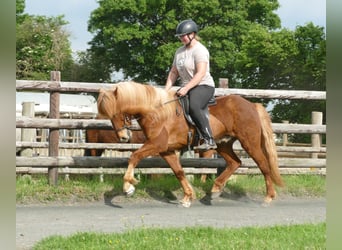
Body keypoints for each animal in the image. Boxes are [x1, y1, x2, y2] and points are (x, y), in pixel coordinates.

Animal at [97, 81, 284, 207]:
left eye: (118, 113)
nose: (123, 137)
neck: (157, 112)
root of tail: (252, 105)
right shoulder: (166, 150)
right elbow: (179, 172)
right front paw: (188, 196)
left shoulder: (157, 145)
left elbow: (134, 156)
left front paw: (128, 187)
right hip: (223, 144)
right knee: (234, 163)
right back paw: (214, 191)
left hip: (249, 142)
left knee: (263, 164)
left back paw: (269, 197)